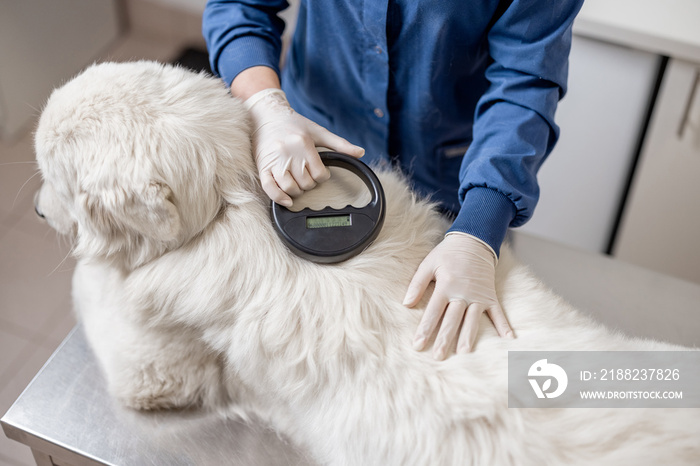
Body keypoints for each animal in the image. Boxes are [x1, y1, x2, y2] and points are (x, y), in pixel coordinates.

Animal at [34, 62, 700, 466]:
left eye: (53, 180)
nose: (38, 212)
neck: (231, 199)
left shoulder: (152, 373)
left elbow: (95, 289)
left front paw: (91, 266)